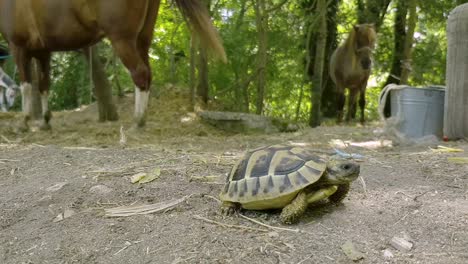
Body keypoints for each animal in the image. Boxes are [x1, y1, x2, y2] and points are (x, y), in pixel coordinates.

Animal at [0, 0, 227, 128]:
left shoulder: (18, 47)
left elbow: (26, 86)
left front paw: (25, 122)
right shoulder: (43, 52)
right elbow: (44, 86)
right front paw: (46, 121)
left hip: (122, 39)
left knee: (140, 73)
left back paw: (137, 121)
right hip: (142, 39)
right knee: (147, 73)